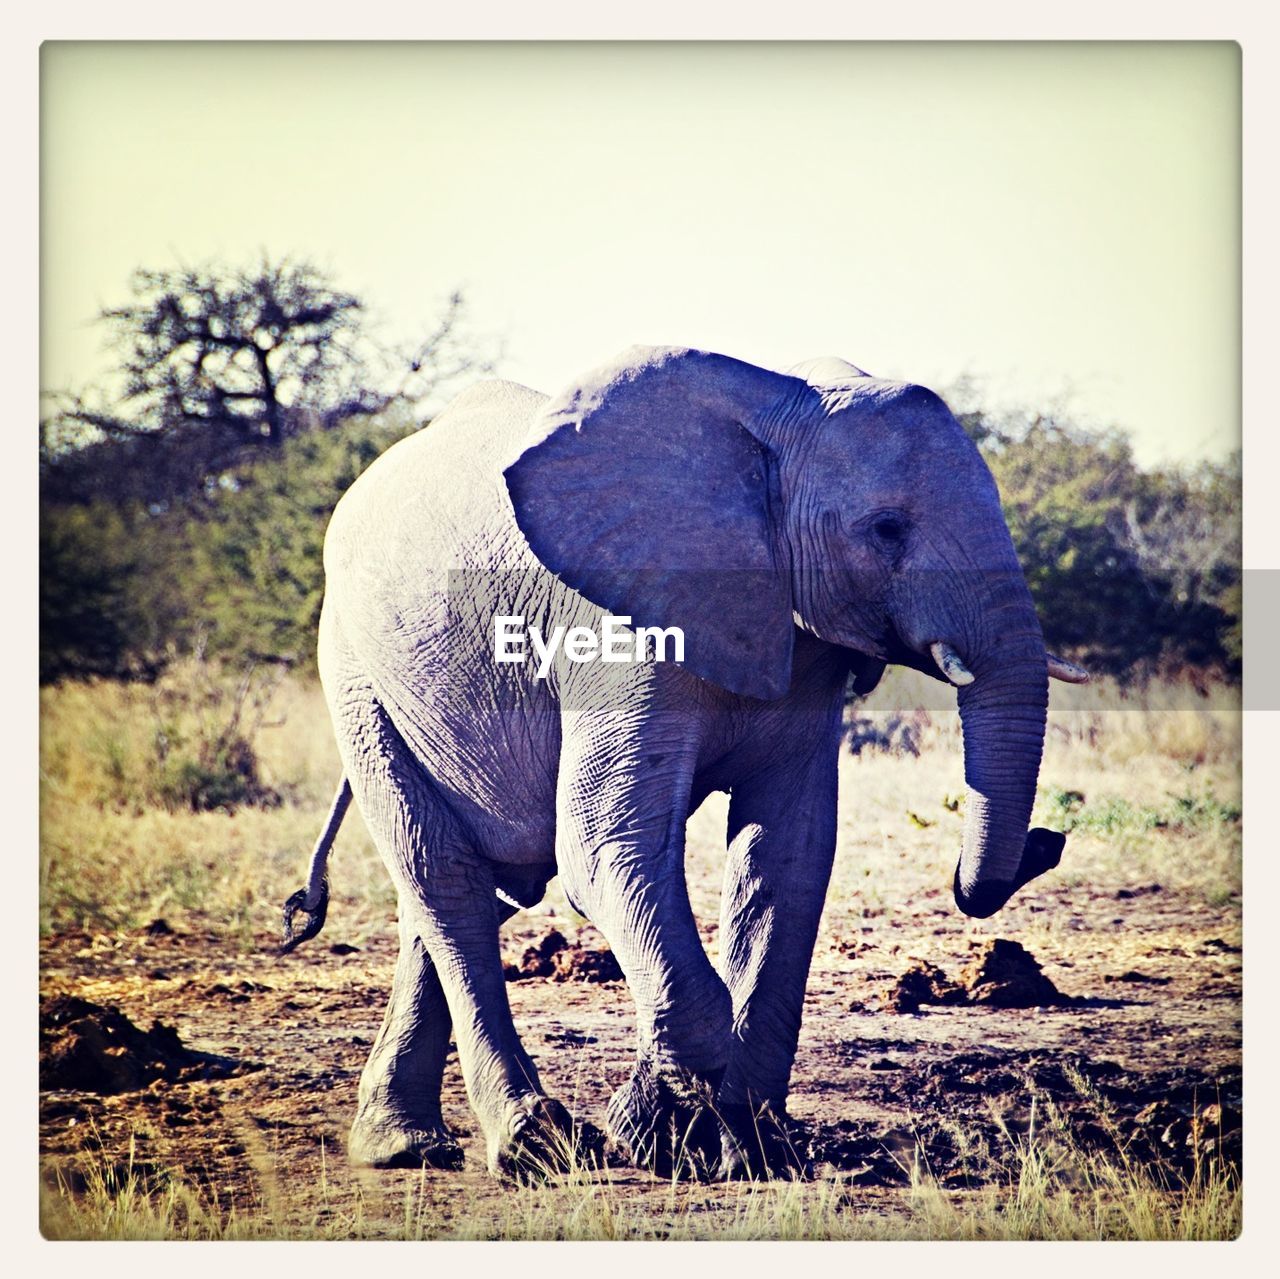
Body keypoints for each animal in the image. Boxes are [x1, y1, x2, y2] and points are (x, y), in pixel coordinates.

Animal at [280, 345, 1090, 1182]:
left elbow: (787, 857)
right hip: (354, 671)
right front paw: (668, 1131)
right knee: (445, 877)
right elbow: (605, 848)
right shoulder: (614, 629)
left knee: (471, 887)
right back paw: (534, 1145)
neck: (776, 413)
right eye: (886, 529)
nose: (1046, 843)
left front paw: (749, 1145)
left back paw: (402, 1143)